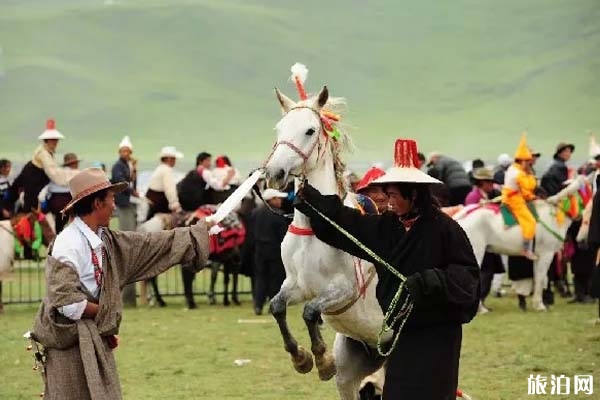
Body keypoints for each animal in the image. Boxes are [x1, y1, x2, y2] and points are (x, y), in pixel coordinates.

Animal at [454, 177, 584, 310]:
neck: (552, 216)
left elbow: (538, 277)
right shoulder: (546, 254)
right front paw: (540, 305)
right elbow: (541, 278)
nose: (580, 218)